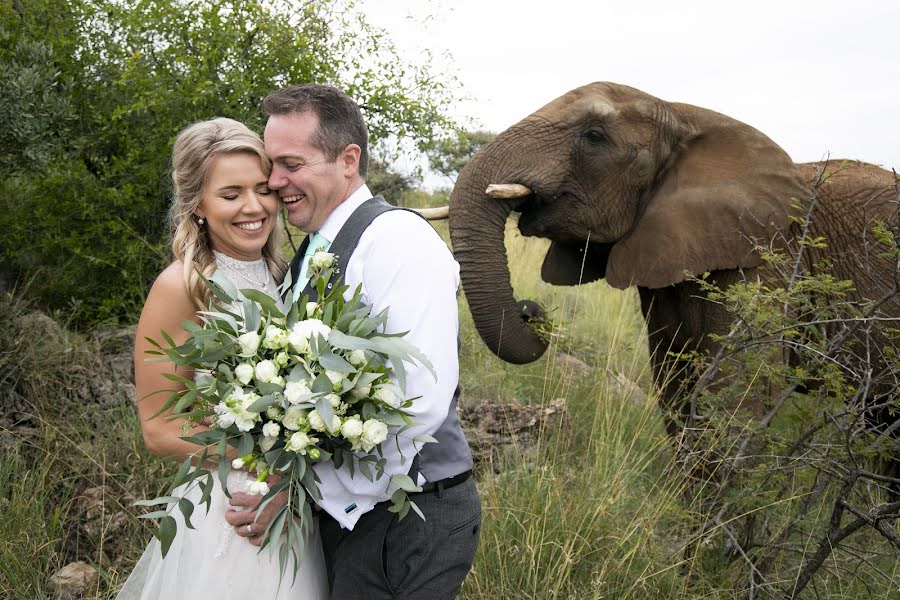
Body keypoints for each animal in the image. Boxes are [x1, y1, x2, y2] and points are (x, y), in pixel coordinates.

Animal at [446, 84, 896, 458]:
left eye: (594, 136)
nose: (531, 310)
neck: (683, 118)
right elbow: (676, 396)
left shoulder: (765, 259)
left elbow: (736, 403)